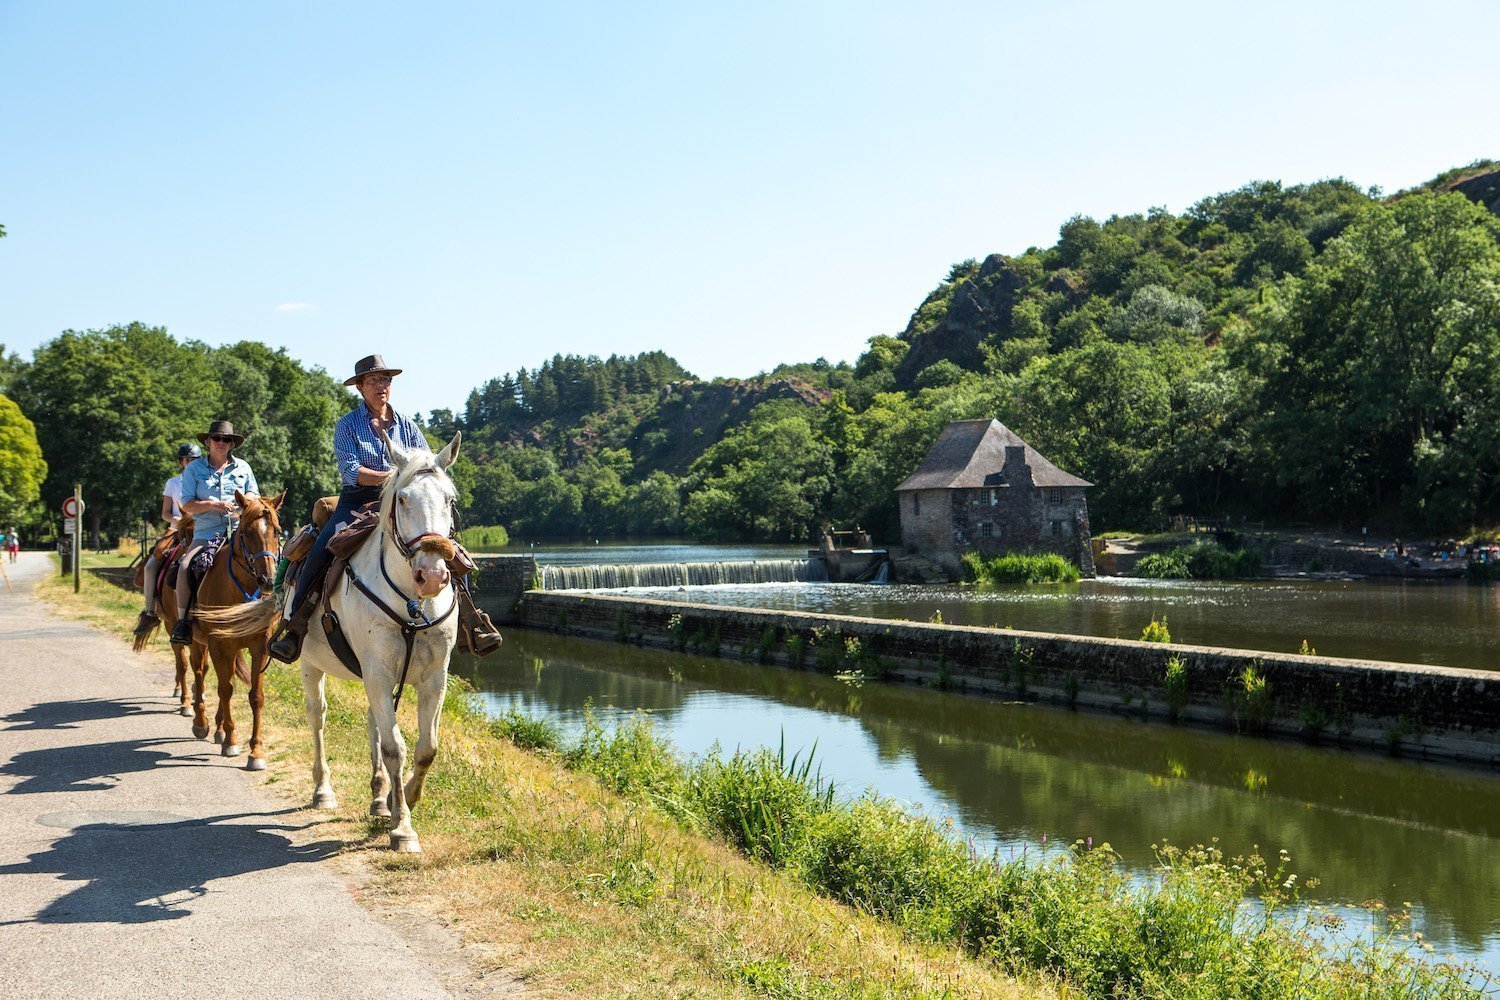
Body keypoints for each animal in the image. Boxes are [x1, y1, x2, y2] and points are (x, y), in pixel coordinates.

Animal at [138, 491, 286, 767]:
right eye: (246, 532)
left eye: (278, 531)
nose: (268, 579)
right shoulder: (218, 644)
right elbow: (225, 690)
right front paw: (231, 741)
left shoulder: (258, 646)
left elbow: (255, 695)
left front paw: (256, 752)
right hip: (183, 632)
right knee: (193, 669)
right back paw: (199, 719)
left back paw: (216, 727)